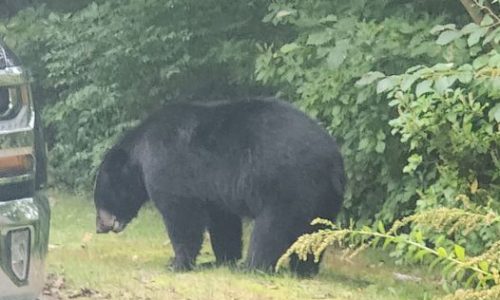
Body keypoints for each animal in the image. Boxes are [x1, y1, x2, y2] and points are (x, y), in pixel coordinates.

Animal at [94, 98, 344, 276]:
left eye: (99, 199)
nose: (99, 227)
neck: (140, 154)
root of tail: (332, 159)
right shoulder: (214, 191)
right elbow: (223, 221)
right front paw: (220, 260)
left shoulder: (169, 165)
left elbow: (182, 216)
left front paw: (177, 263)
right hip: (324, 198)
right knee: (314, 233)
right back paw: (303, 270)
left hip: (287, 185)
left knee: (272, 228)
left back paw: (252, 266)